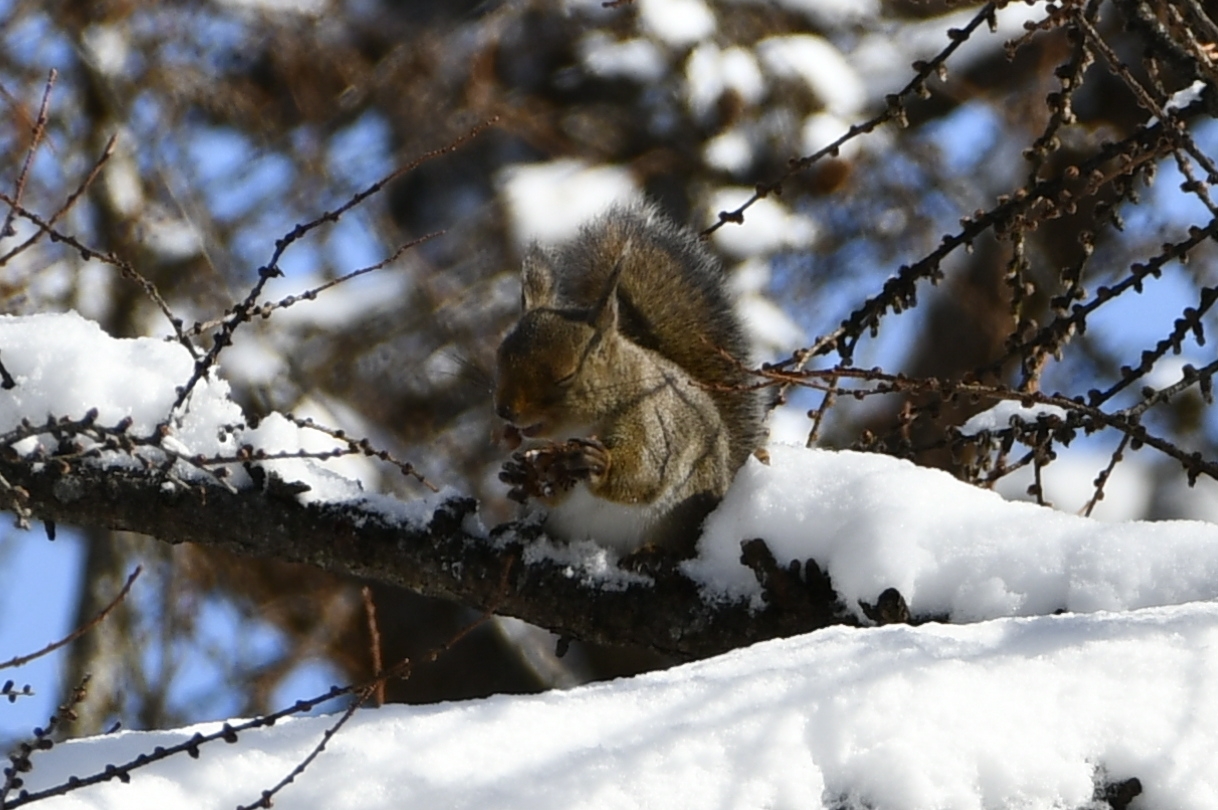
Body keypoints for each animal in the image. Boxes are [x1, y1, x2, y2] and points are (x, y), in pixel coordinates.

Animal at [494, 202, 765, 559]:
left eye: (566, 375)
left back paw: (649, 556)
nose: (505, 411)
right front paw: (527, 477)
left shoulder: (651, 422)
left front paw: (599, 464)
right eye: (499, 358)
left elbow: (643, 475)